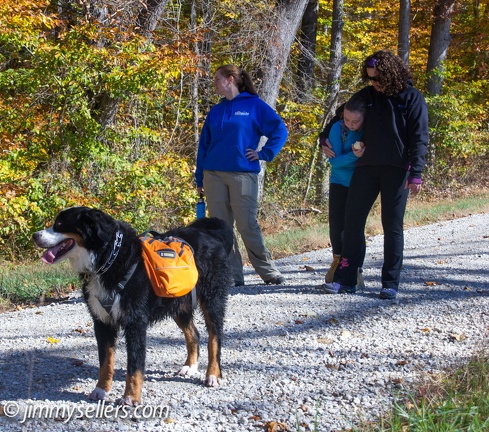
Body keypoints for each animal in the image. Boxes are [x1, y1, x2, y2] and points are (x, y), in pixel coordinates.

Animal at [32, 208, 233, 406]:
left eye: (59, 223)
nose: (35, 235)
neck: (108, 260)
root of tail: (209, 233)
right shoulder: (102, 322)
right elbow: (105, 361)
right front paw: (100, 390)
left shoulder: (135, 323)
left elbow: (134, 365)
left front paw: (130, 397)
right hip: (177, 302)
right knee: (194, 334)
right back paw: (189, 367)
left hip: (212, 300)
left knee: (214, 338)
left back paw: (213, 375)